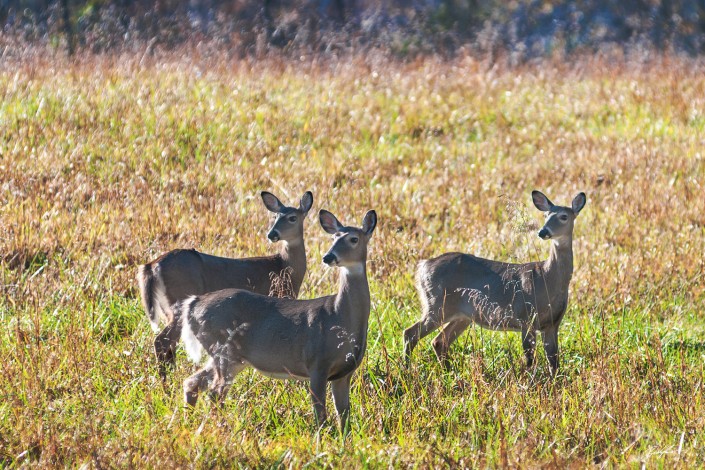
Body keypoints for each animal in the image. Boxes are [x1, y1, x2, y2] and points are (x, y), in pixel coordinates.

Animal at [136, 188, 312, 378]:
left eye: (292, 217)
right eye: (275, 216)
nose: (272, 234)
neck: (283, 265)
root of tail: (151, 266)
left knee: (170, 345)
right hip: (180, 300)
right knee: (161, 340)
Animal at [179, 209, 376, 434]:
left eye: (354, 239)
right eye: (334, 237)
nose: (328, 256)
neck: (340, 316)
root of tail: (193, 304)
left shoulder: (345, 373)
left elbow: (344, 414)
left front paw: (345, 440)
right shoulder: (317, 363)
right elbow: (321, 414)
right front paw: (322, 439)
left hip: (231, 356)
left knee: (193, 382)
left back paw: (189, 423)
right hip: (222, 348)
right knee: (215, 393)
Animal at [404, 189, 584, 376]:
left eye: (564, 216)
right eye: (546, 215)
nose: (543, 232)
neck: (548, 279)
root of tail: (423, 266)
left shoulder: (553, 324)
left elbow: (554, 363)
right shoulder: (525, 317)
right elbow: (530, 360)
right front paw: (529, 380)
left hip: (462, 315)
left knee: (439, 341)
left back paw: (450, 373)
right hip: (437, 304)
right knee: (410, 333)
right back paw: (407, 370)